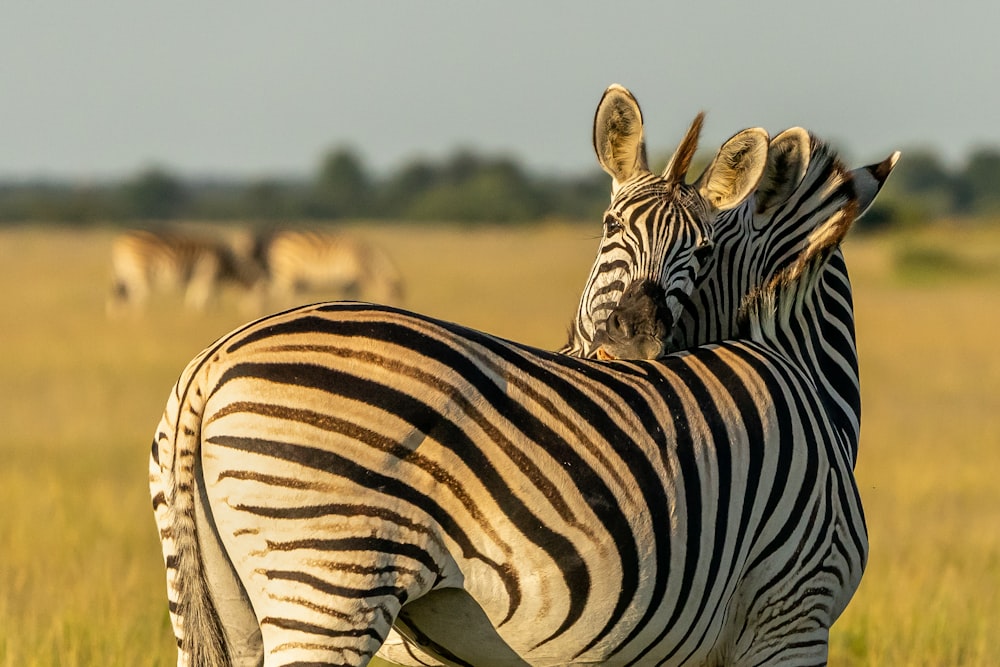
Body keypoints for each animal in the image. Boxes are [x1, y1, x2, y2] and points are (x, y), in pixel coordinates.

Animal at [107, 228, 264, 318]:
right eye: (259, 300)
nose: (255, 315)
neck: (225, 263)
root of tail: (120, 241)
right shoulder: (207, 274)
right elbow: (207, 298)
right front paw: (207, 315)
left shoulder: (200, 277)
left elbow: (195, 297)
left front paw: (193, 316)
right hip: (140, 270)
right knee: (138, 294)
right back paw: (140, 316)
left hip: (125, 271)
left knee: (120, 294)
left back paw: (119, 317)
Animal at [258, 227, 406, 306]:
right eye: (394, 299)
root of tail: (277, 240)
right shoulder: (355, 277)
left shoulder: (351, 281)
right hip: (286, 272)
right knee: (273, 292)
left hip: (294, 279)